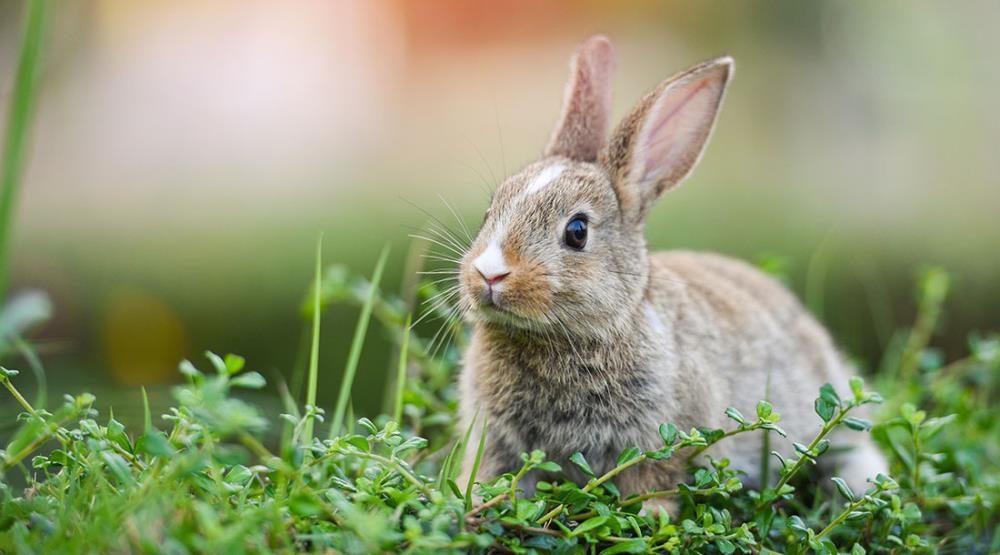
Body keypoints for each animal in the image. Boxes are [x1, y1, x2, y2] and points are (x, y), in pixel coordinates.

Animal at [454, 34, 884, 512]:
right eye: (490, 211)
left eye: (577, 231)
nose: (489, 274)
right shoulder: (498, 443)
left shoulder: (662, 438)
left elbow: (653, 481)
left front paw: (651, 516)